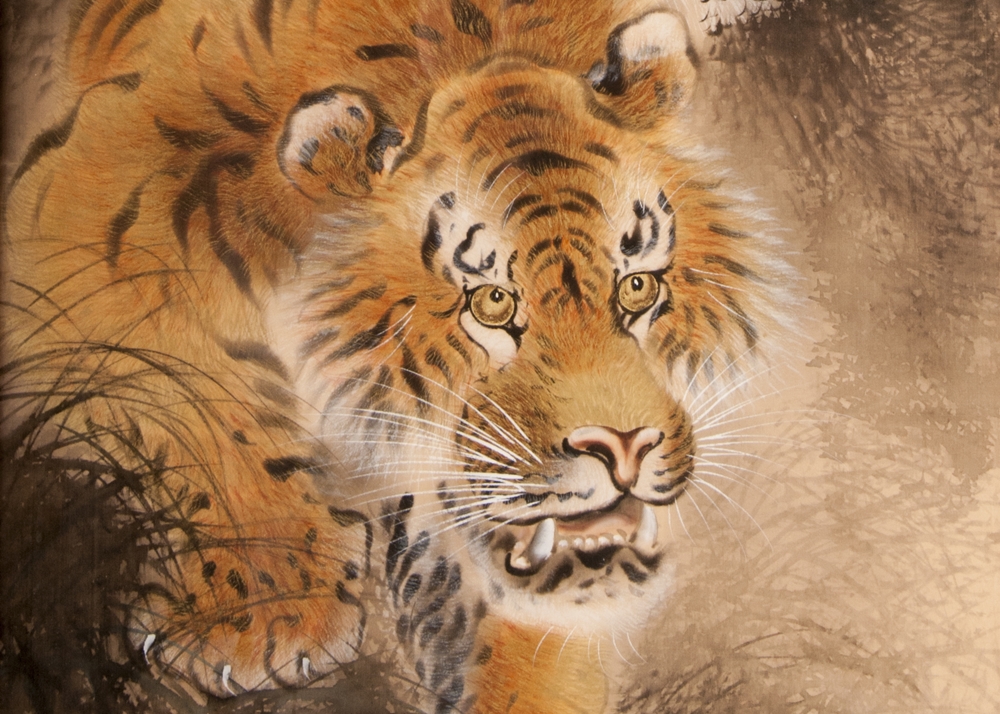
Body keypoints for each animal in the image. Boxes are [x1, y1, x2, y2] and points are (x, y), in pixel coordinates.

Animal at [1, 0, 793, 712]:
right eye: (492, 302)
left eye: (636, 287)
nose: (624, 449)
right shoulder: (85, 203)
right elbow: (197, 397)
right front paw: (266, 606)